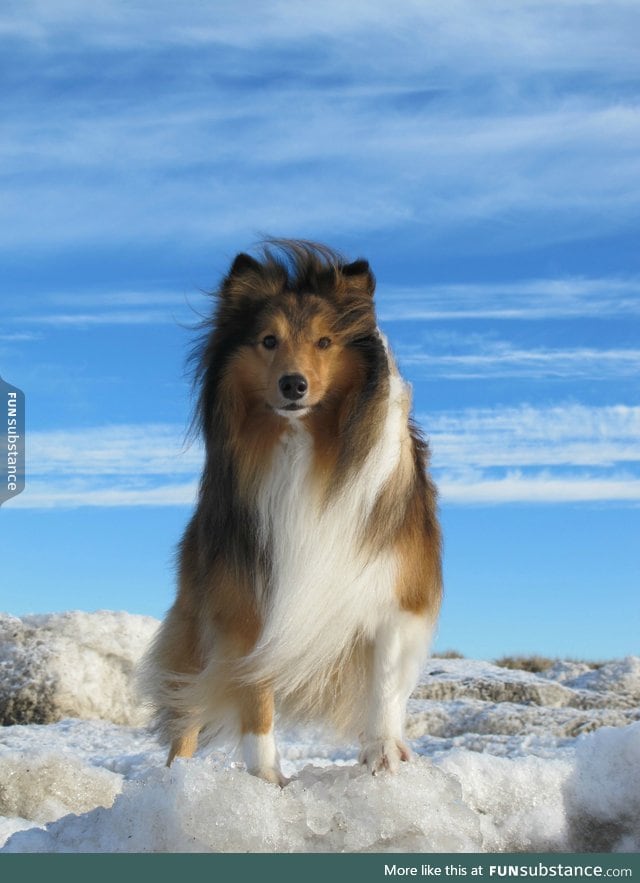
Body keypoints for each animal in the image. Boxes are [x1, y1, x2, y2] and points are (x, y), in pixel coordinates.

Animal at [143, 238, 442, 784]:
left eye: (324, 342)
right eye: (268, 340)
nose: (293, 385)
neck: (305, 446)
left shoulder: (393, 590)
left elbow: (384, 682)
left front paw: (383, 753)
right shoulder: (247, 601)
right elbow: (255, 699)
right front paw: (265, 781)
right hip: (197, 617)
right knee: (185, 710)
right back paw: (178, 779)